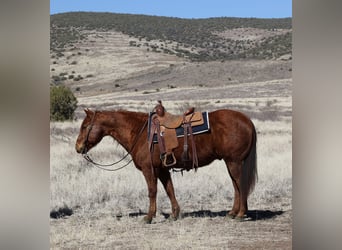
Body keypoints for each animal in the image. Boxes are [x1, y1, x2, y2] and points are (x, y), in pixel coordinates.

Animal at [75, 108, 256, 222]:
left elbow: (152, 192)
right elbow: (170, 190)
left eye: (84, 126)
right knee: (236, 186)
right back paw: (233, 213)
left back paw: (240, 214)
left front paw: (149, 217)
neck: (140, 132)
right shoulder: (162, 170)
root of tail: (247, 120)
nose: (78, 147)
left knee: (240, 184)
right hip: (231, 162)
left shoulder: (149, 170)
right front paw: (175, 214)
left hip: (234, 162)